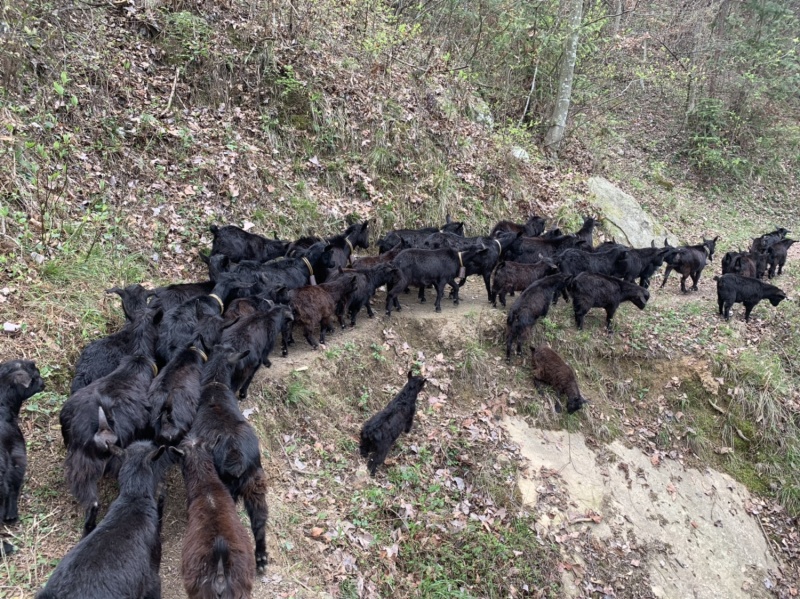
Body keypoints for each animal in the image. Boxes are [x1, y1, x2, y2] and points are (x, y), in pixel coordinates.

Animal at [192, 350, 270, 576]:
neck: (215, 385)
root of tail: (237, 455)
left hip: (228, 490)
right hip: (256, 485)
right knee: (260, 521)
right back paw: (261, 558)